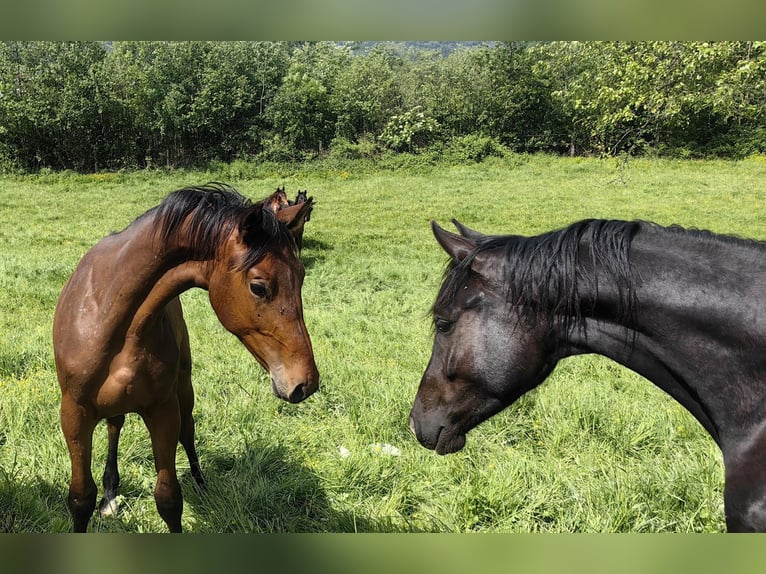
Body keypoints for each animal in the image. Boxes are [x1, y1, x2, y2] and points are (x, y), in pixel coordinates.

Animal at [53, 184, 318, 536]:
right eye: (259, 287)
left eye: (301, 276)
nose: (305, 382)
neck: (109, 313)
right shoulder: (74, 414)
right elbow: (81, 499)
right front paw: (100, 497)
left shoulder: (163, 410)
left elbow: (168, 498)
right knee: (115, 425)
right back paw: (110, 493)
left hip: (184, 389)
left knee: (187, 432)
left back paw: (200, 482)